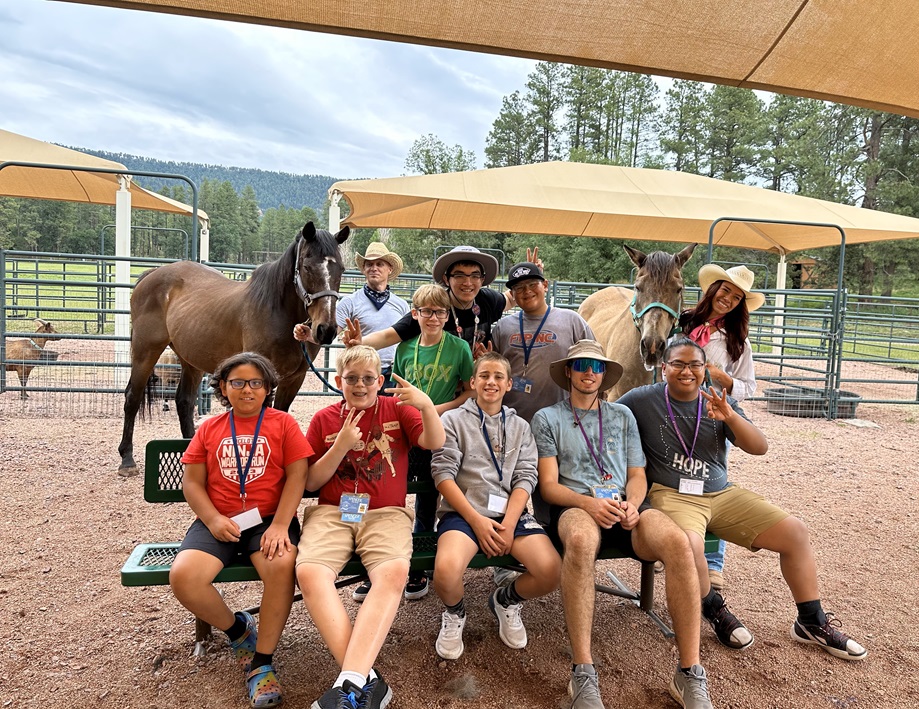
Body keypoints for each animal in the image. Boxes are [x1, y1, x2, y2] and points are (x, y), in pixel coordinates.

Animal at [120, 221, 350, 476]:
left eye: (341, 269)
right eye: (307, 267)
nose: (326, 329)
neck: (276, 309)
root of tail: (152, 274)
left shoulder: (294, 379)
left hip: (190, 359)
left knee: (184, 401)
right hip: (145, 351)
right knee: (132, 397)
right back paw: (127, 460)